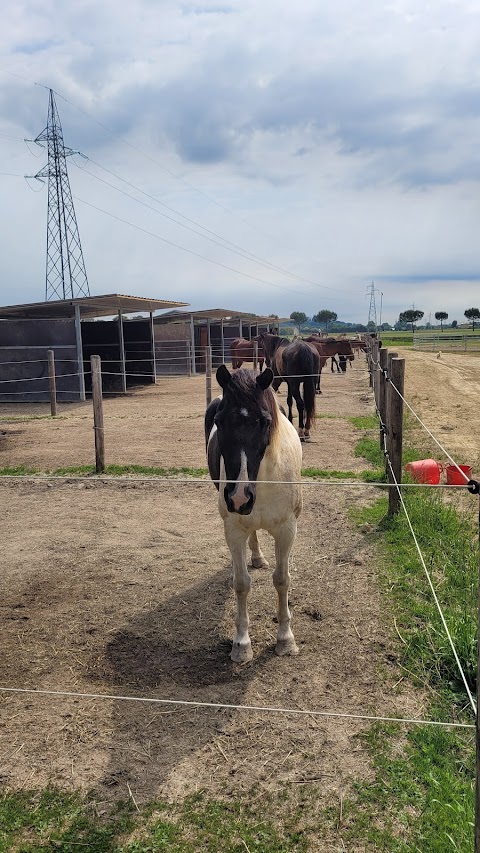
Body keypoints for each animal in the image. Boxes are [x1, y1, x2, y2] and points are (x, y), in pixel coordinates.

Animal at [204, 362, 302, 664]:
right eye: (220, 421)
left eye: (264, 421)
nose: (239, 497)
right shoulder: (234, 529)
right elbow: (241, 584)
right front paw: (241, 644)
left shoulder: (287, 530)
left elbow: (282, 580)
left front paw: (285, 639)